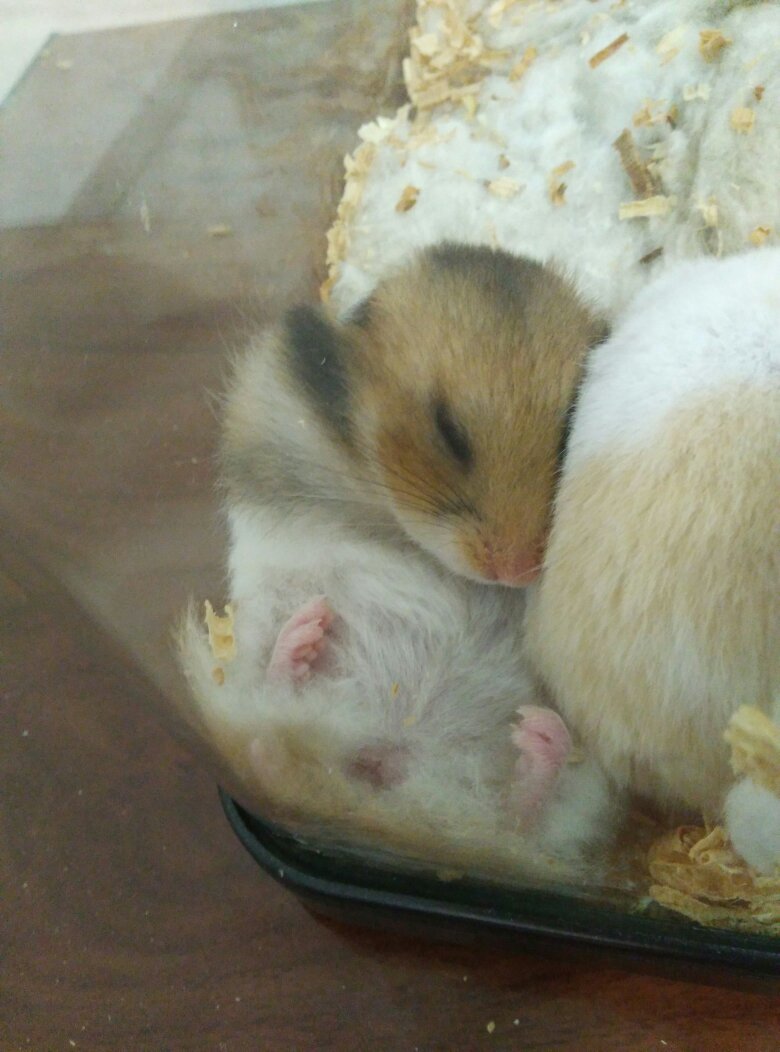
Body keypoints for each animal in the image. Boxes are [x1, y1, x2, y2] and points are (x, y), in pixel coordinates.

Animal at [179, 242, 617, 881]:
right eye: (448, 431)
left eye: (568, 433)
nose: (518, 573)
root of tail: (392, 768)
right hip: (253, 638)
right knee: (268, 711)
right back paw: (305, 638)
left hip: (573, 794)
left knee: (523, 818)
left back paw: (539, 737)